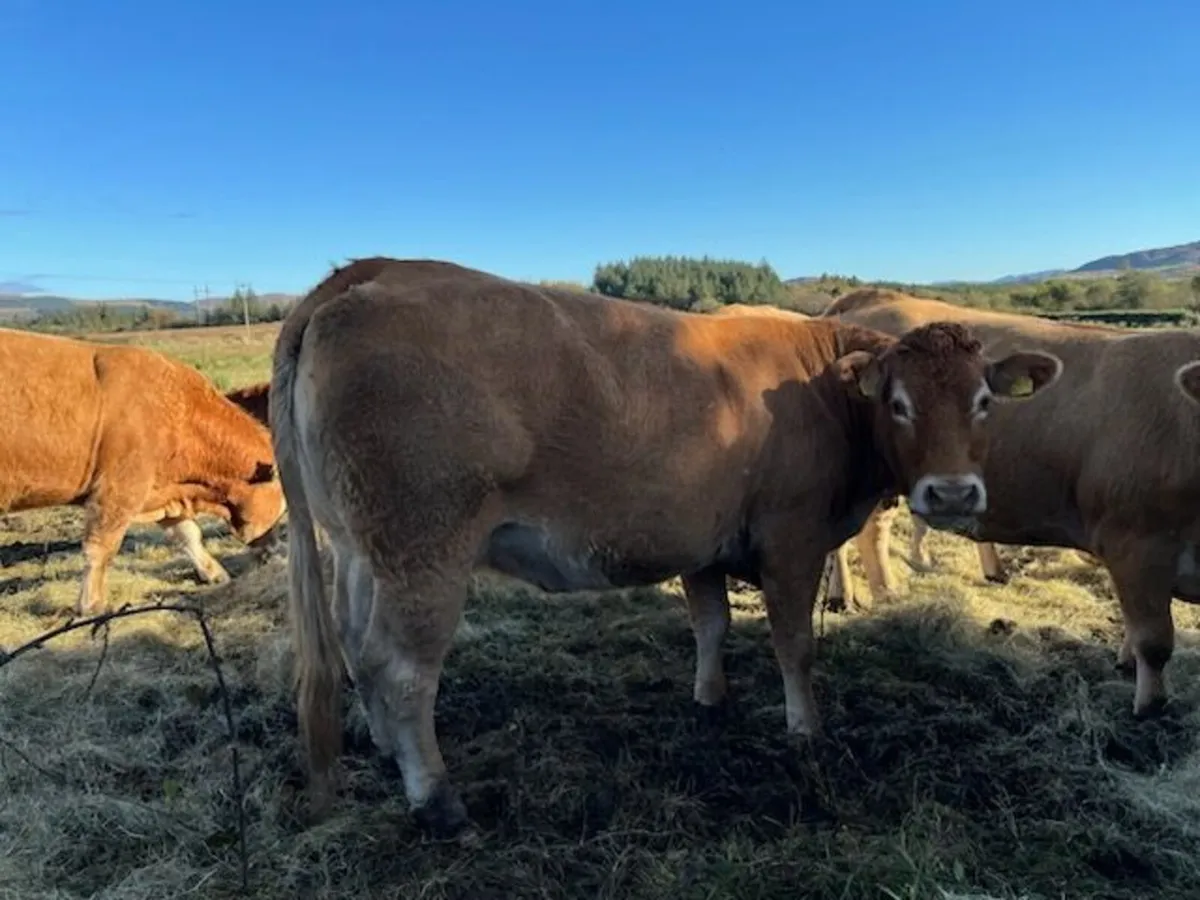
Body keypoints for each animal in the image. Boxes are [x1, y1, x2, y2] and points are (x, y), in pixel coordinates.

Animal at [0, 328, 287, 615]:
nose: (277, 550)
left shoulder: (163, 494)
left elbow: (188, 536)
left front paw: (215, 573)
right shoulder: (117, 493)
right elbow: (100, 548)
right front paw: (91, 605)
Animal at [269, 258, 1062, 836]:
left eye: (983, 402)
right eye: (898, 404)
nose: (952, 495)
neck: (820, 388)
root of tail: (372, 271)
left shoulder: (702, 543)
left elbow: (711, 624)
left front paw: (709, 698)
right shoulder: (792, 539)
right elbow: (794, 645)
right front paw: (805, 729)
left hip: (360, 546)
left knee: (355, 645)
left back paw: (382, 746)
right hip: (425, 549)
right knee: (401, 669)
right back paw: (436, 800)